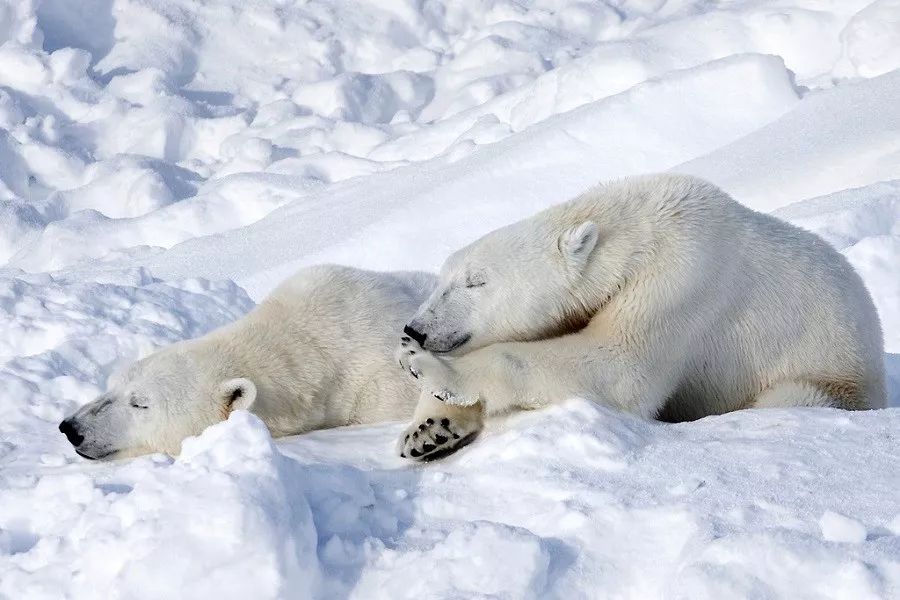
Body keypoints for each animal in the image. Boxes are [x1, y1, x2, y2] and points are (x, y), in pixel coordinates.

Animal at [394, 172, 884, 460]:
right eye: (441, 280)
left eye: (476, 282)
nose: (414, 329)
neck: (638, 229)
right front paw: (428, 430)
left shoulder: (680, 281)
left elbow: (619, 366)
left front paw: (431, 369)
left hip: (829, 380)